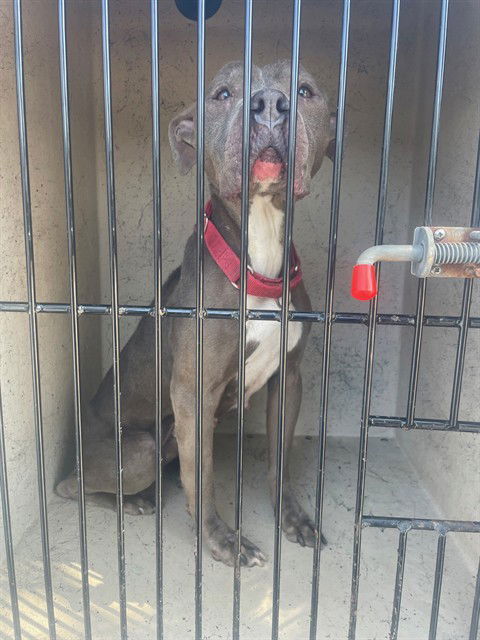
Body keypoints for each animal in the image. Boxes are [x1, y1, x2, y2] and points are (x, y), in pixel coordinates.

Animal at [57, 60, 334, 567]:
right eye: (222, 94)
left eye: (305, 90)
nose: (270, 104)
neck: (256, 265)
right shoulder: (193, 393)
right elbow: (201, 480)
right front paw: (222, 541)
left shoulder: (289, 378)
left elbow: (279, 463)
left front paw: (293, 518)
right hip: (139, 448)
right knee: (72, 487)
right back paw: (134, 501)